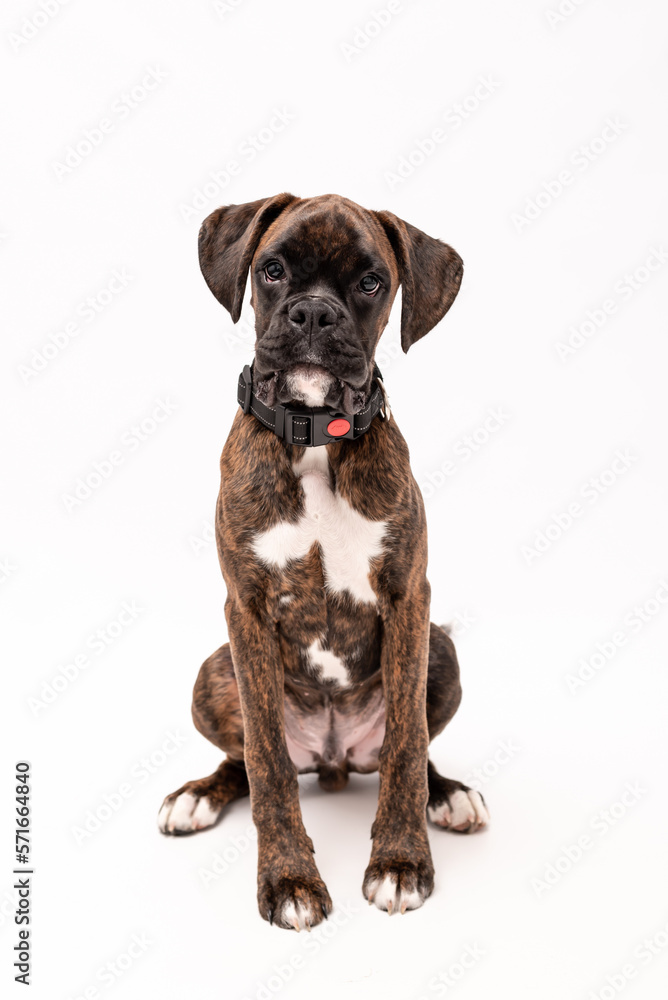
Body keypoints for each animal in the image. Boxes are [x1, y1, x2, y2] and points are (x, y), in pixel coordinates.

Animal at [159, 193, 488, 928]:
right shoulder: (246, 609)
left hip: (441, 650)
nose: (313, 313)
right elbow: (266, 759)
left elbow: (406, 747)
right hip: (212, 670)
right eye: (272, 270)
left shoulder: (409, 598)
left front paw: (400, 862)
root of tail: (335, 759)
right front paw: (288, 879)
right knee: (244, 759)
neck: (314, 437)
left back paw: (448, 794)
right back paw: (199, 794)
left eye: (370, 282)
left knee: (408, 747)